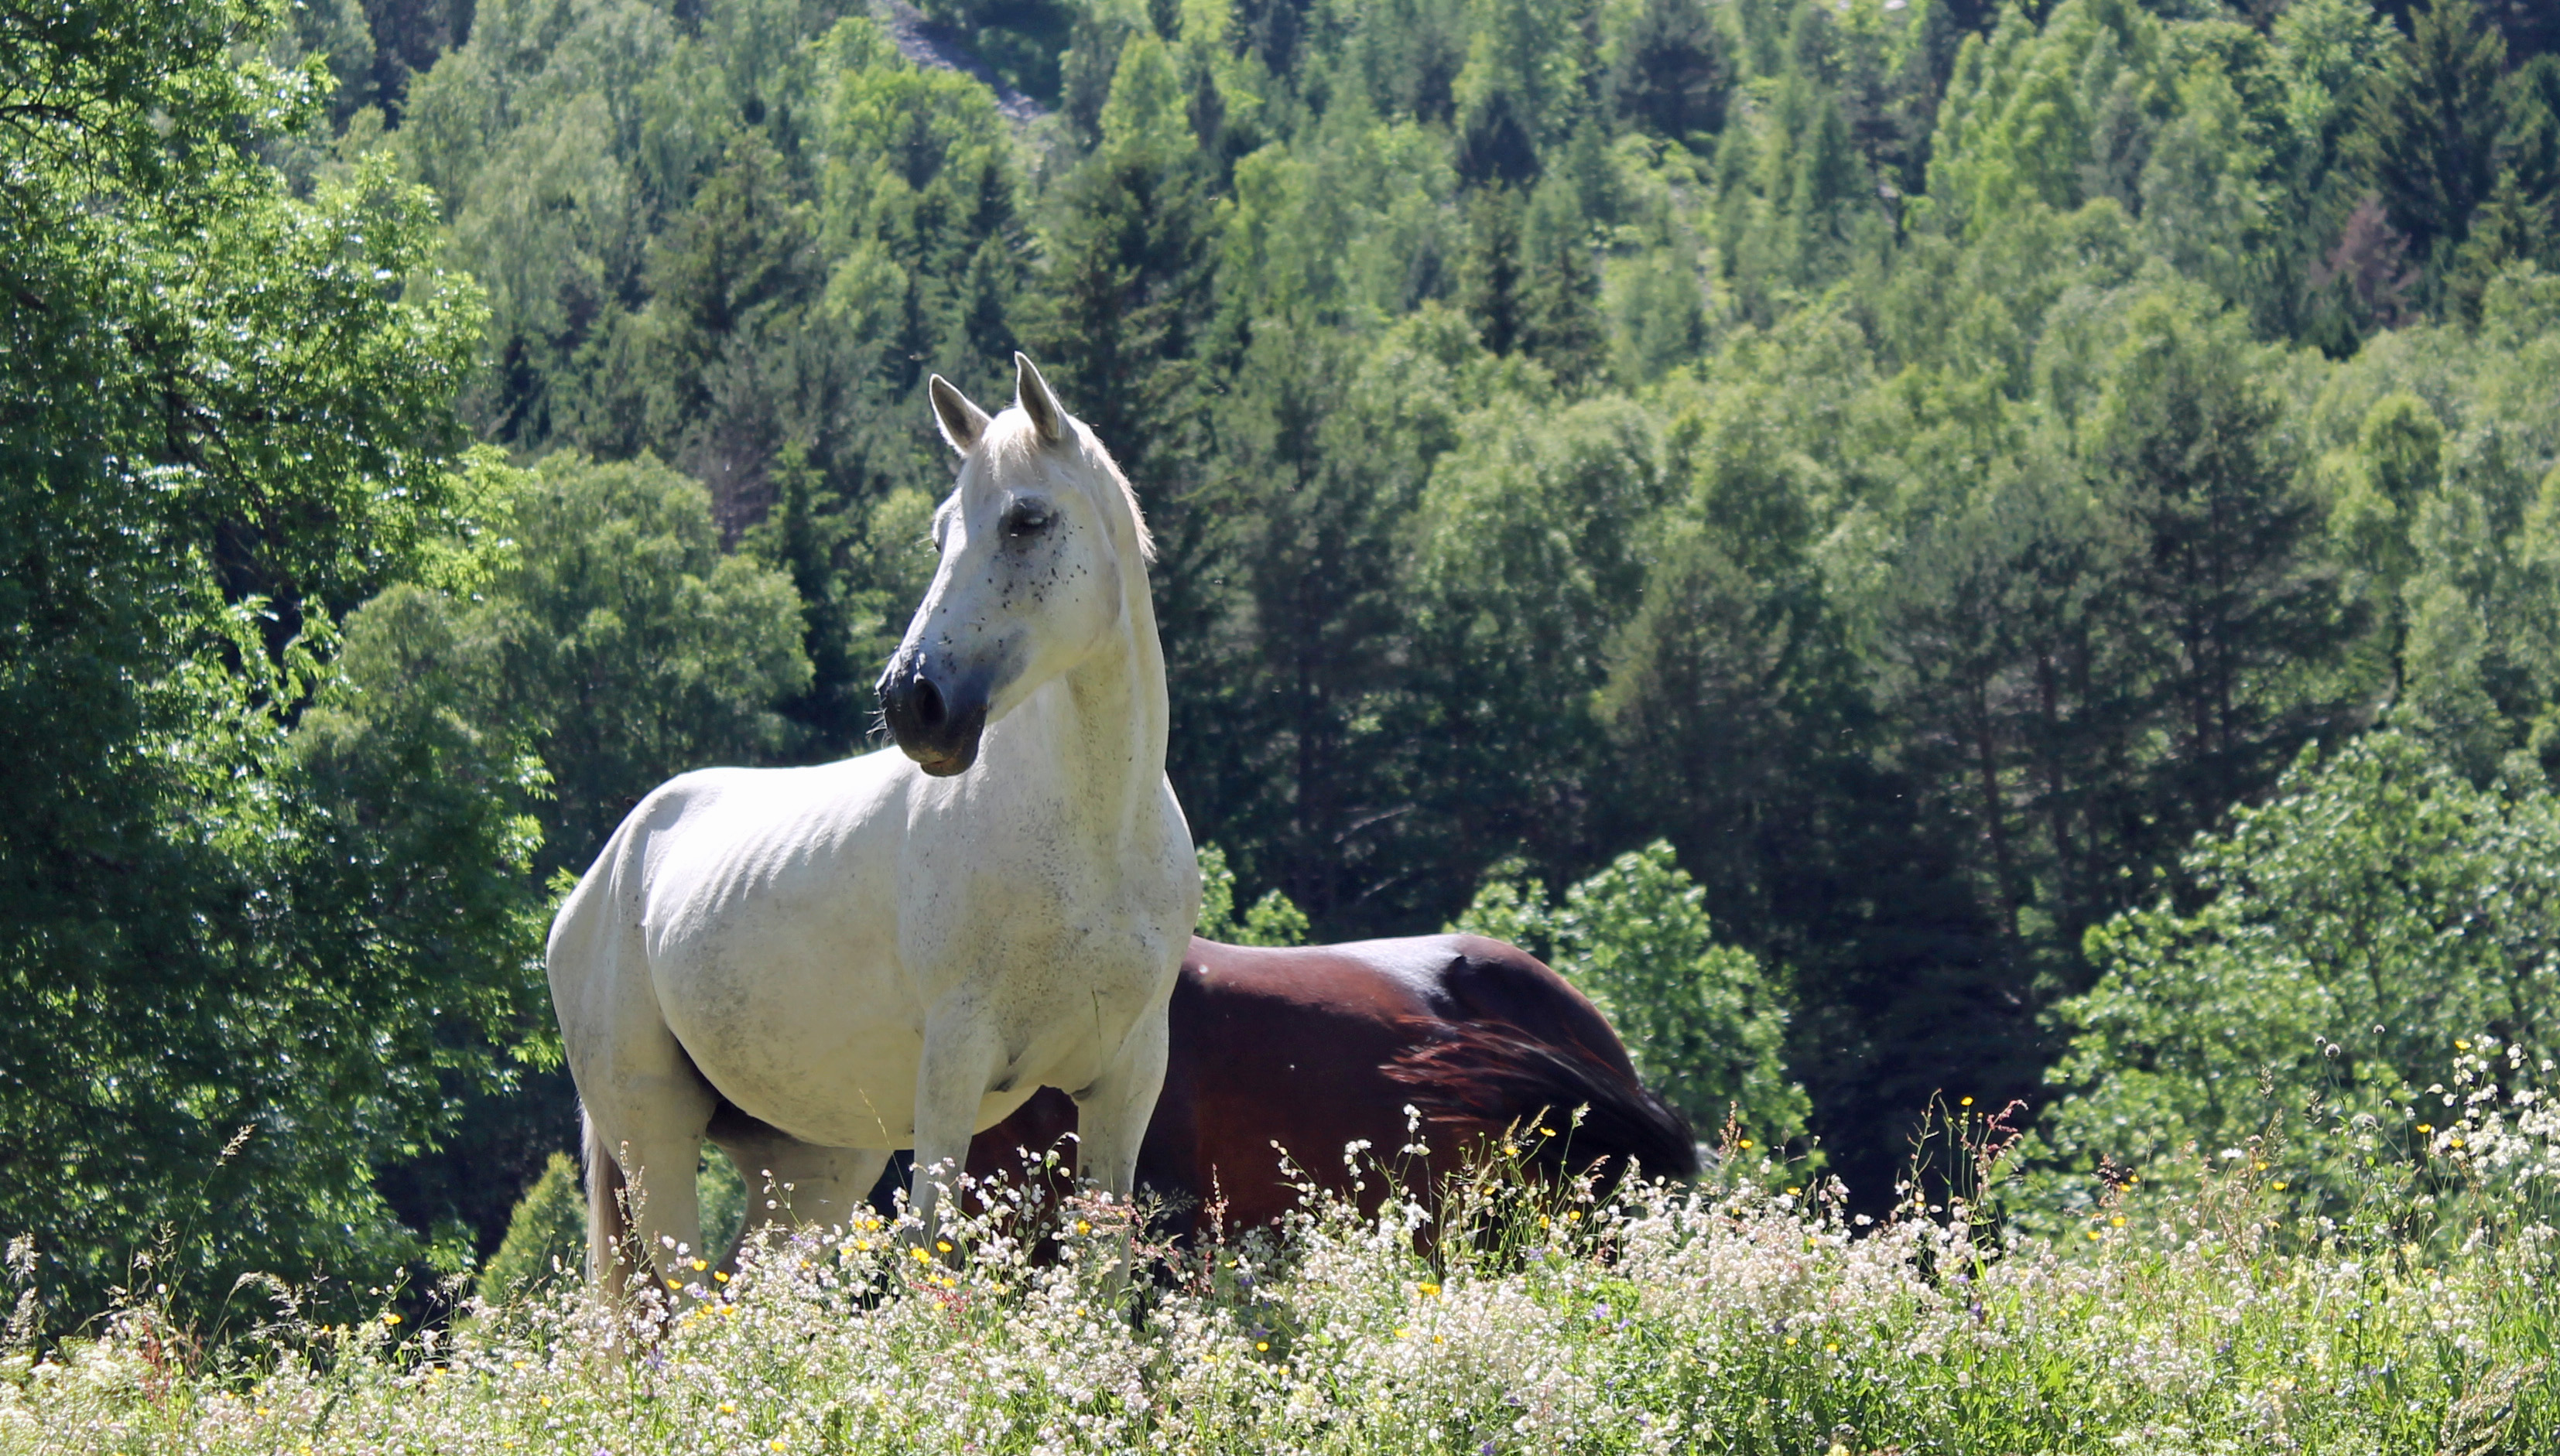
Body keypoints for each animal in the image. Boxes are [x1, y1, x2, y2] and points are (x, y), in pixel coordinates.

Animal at [547, 358, 1198, 1290]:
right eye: (939, 535)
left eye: (1026, 519)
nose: (911, 703)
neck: (1096, 839)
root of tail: (601, 880)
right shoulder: (955, 1067)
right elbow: (934, 1247)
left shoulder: (1127, 1079)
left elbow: (1100, 1272)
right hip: (654, 1139)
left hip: (811, 1166)